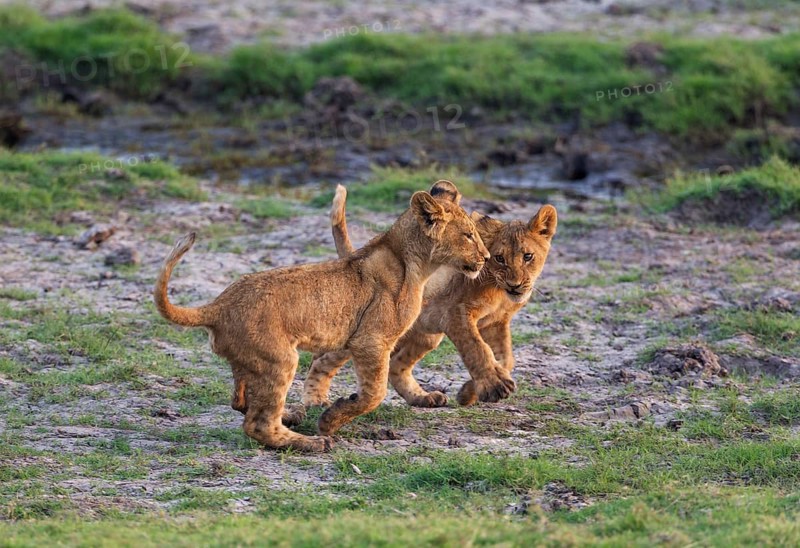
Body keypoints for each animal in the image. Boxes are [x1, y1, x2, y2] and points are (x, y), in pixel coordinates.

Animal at [154, 181, 489, 452]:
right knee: (257, 423)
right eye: (469, 235)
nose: (486, 258)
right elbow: (374, 392)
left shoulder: (355, 339)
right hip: (280, 359)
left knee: (240, 401)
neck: (415, 265)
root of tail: (217, 306)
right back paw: (310, 442)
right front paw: (331, 420)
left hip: (250, 362)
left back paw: (291, 415)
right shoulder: (371, 340)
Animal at [304, 187, 557, 408]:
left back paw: (422, 397)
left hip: (426, 335)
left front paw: (469, 392)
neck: (498, 291)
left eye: (528, 256)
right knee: (321, 360)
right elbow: (477, 349)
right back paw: (315, 401)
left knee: (396, 365)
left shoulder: (496, 323)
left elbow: (506, 359)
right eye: (500, 258)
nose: (515, 285)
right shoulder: (455, 313)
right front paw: (494, 387)